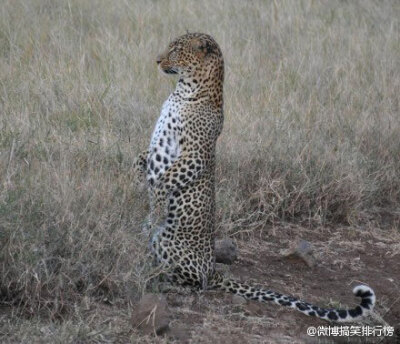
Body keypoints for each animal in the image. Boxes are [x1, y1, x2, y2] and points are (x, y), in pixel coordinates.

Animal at [134, 33, 376, 322]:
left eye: (176, 49)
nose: (157, 60)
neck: (183, 91)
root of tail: (213, 270)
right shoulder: (158, 149)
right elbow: (140, 159)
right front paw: (136, 181)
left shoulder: (195, 155)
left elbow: (164, 182)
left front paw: (154, 208)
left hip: (169, 243)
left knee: (196, 283)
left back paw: (164, 281)